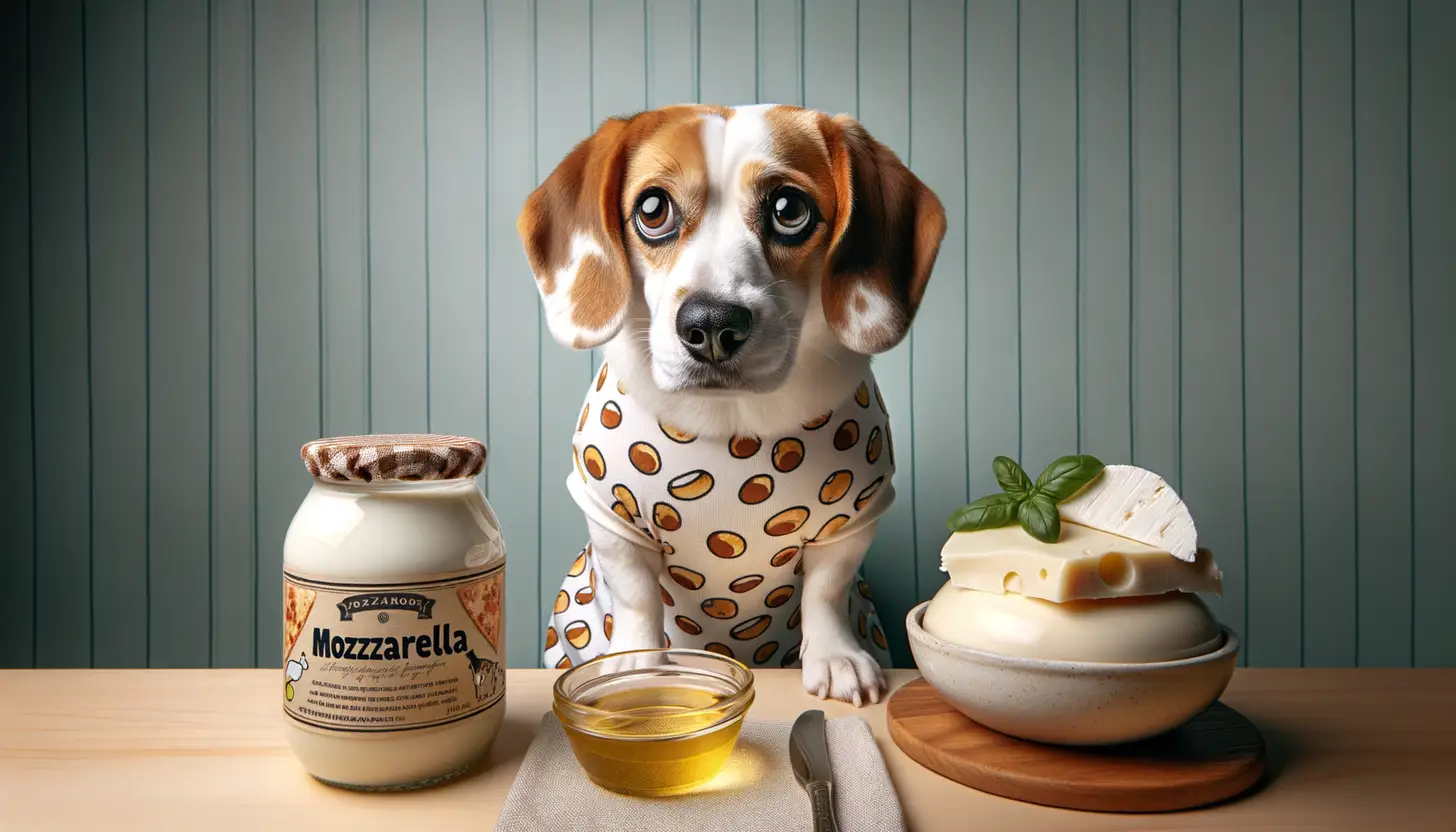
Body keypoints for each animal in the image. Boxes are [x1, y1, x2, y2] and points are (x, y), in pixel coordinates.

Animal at [518, 101, 949, 705]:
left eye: (789, 209)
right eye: (653, 208)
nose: (712, 324)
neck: (733, 421)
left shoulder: (853, 519)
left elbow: (826, 589)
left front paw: (835, 657)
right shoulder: (612, 519)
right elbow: (637, 598)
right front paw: (636, 667)